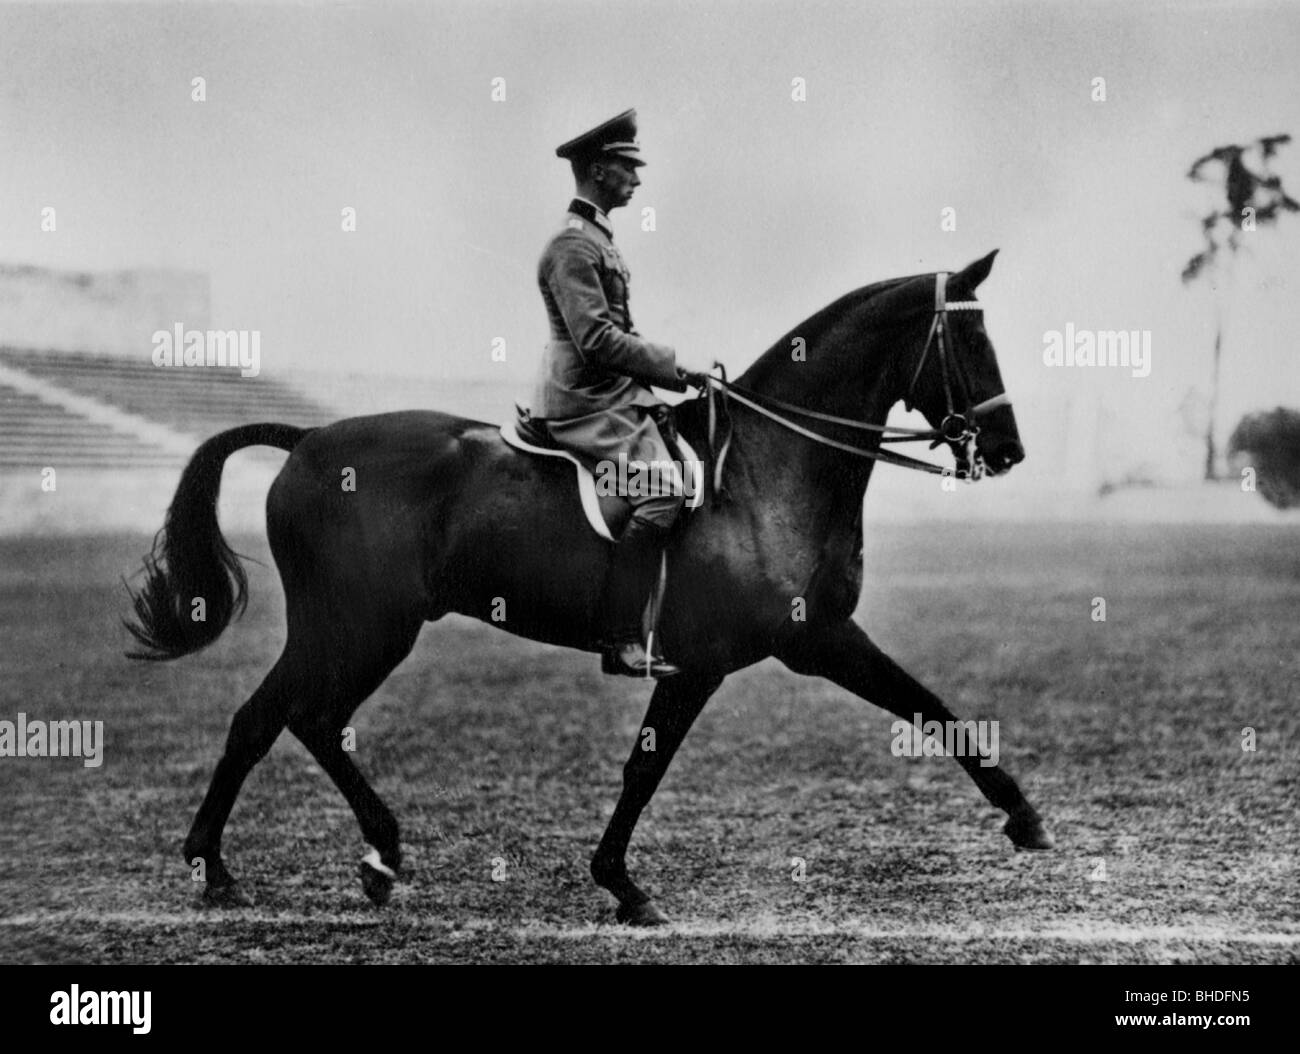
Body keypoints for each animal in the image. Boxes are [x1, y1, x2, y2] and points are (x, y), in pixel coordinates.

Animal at [126, 246, 1050, 925]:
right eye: (970, 344)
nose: (1008, 451)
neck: (768, 468)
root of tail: (310, 438)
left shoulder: (814, 637)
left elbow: (931, 707)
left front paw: (1025, 818)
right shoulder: (738, 655)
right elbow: (649, 766)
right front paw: (622, 885)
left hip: (358, 629)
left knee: (293, 719)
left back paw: (338, 861)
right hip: (360, 626)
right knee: (282, 719)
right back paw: (254, 865)